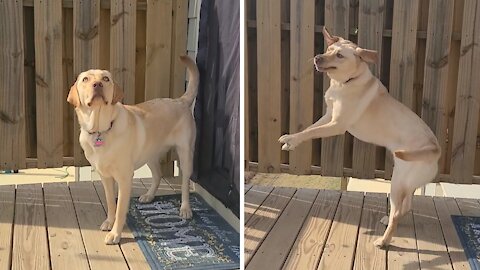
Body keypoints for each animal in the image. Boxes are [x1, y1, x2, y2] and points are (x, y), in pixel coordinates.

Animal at [67, 54, 199, 245]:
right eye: (85, 79)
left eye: (105, 79)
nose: (97, 84)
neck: (101, 130)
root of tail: (179, 101)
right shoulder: (105, 176)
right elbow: (111, 202)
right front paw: (109, 221)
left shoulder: (124, 178)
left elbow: (121, 208)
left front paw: (115, 234)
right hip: (150, 154)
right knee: (158, 175)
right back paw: (149, 196)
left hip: (185, 153)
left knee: (185, 182)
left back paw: (185, 208)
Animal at [280, 28, 440, 248]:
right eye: (328, 50)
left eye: (339, 55)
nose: (318, 57)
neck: (345, 82)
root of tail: (434, 148)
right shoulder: (329, 116)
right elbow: (309, 129)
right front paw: (292, 138)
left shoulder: (337, 125)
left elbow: (312, 132)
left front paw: (293, 141)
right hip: (407, 182)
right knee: (406, 206)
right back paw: (387, 221)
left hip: (398, 182)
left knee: (398, 212)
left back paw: (384, 240)